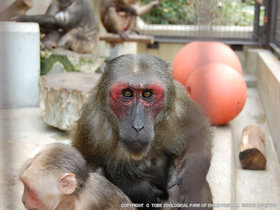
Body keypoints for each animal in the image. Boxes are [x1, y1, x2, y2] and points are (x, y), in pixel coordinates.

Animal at [71, 53, 213, 208]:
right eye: (127, 93)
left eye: (147, 94)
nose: (137, 126)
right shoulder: (92, 126)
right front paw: (141, 190)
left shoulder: (180, 105)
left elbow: (199, 131)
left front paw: (190, 173)